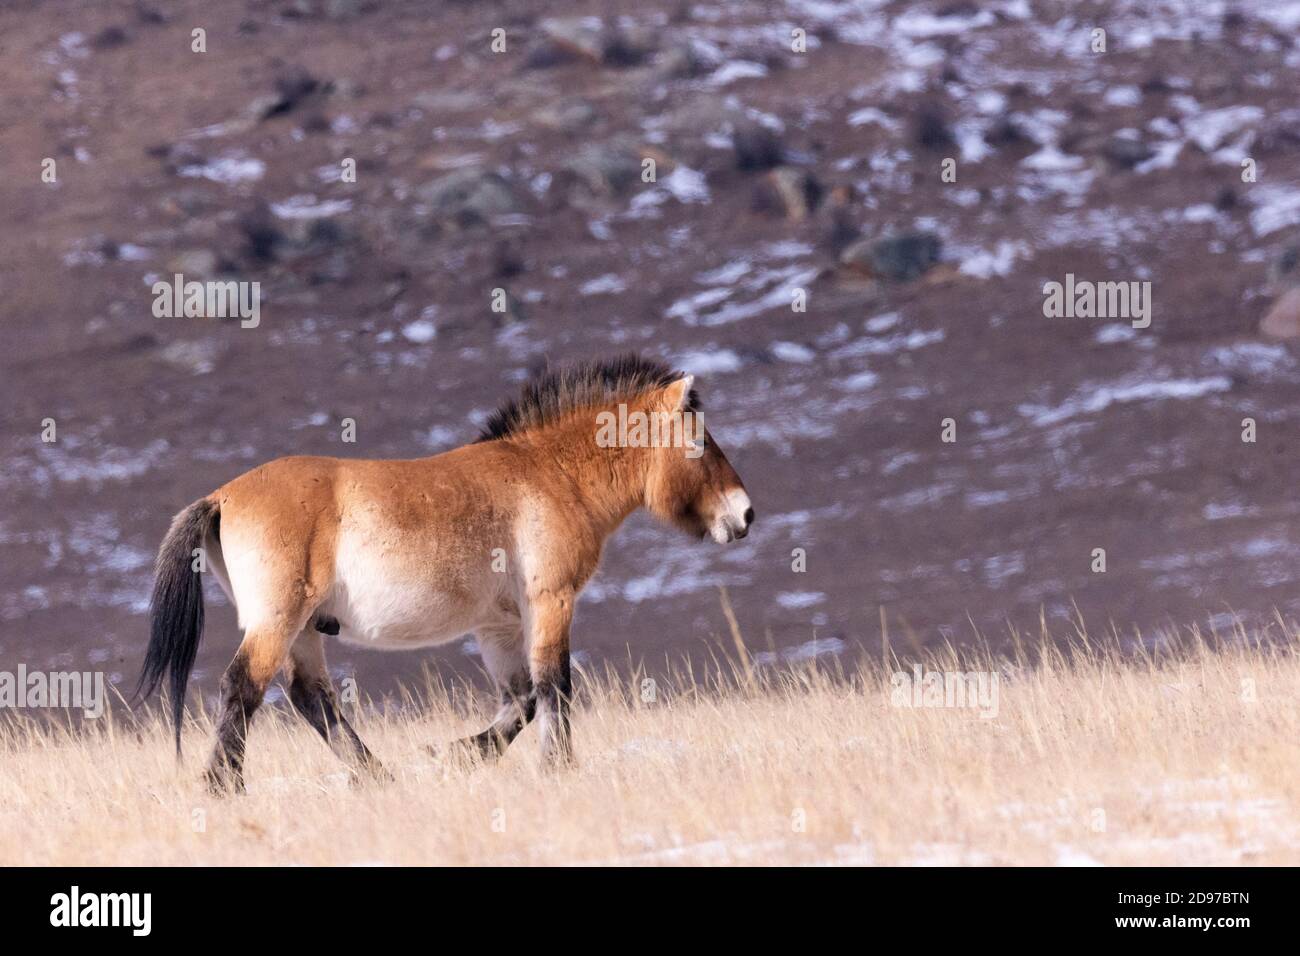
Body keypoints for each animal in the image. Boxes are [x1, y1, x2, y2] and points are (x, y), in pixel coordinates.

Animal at [134, 353, 754, 790]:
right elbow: (555, 685)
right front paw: (558, 766)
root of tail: (221, 497)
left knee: (311, 697)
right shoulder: (551, 600)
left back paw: (376, 777)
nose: (744, 513)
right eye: (698, 437)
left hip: (303, 629)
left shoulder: (500, 624)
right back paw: (225, 787)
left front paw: (456, 754)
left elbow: (523, 698)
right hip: (278, 621)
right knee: (244, 688)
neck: (553, 474)